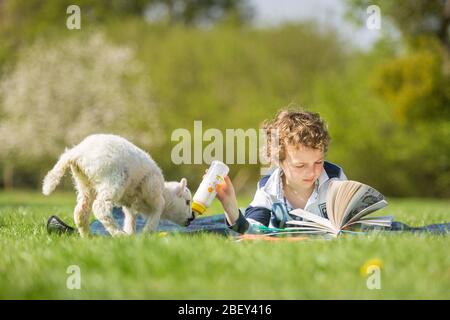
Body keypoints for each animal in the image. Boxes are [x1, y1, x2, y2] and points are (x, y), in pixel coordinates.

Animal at [42, 134, 195, 236]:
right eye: (187, 202)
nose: (192, 218)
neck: (164, 191)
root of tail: (76, 153)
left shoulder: (129, 205)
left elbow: (130, 219)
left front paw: (132, 234)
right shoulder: (154, 194)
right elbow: (155, 215)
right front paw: (146, 234)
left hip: (84, 183)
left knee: (81, 212)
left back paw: (87, 237)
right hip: (112, 180)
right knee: (99, 207)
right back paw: (119, 234)